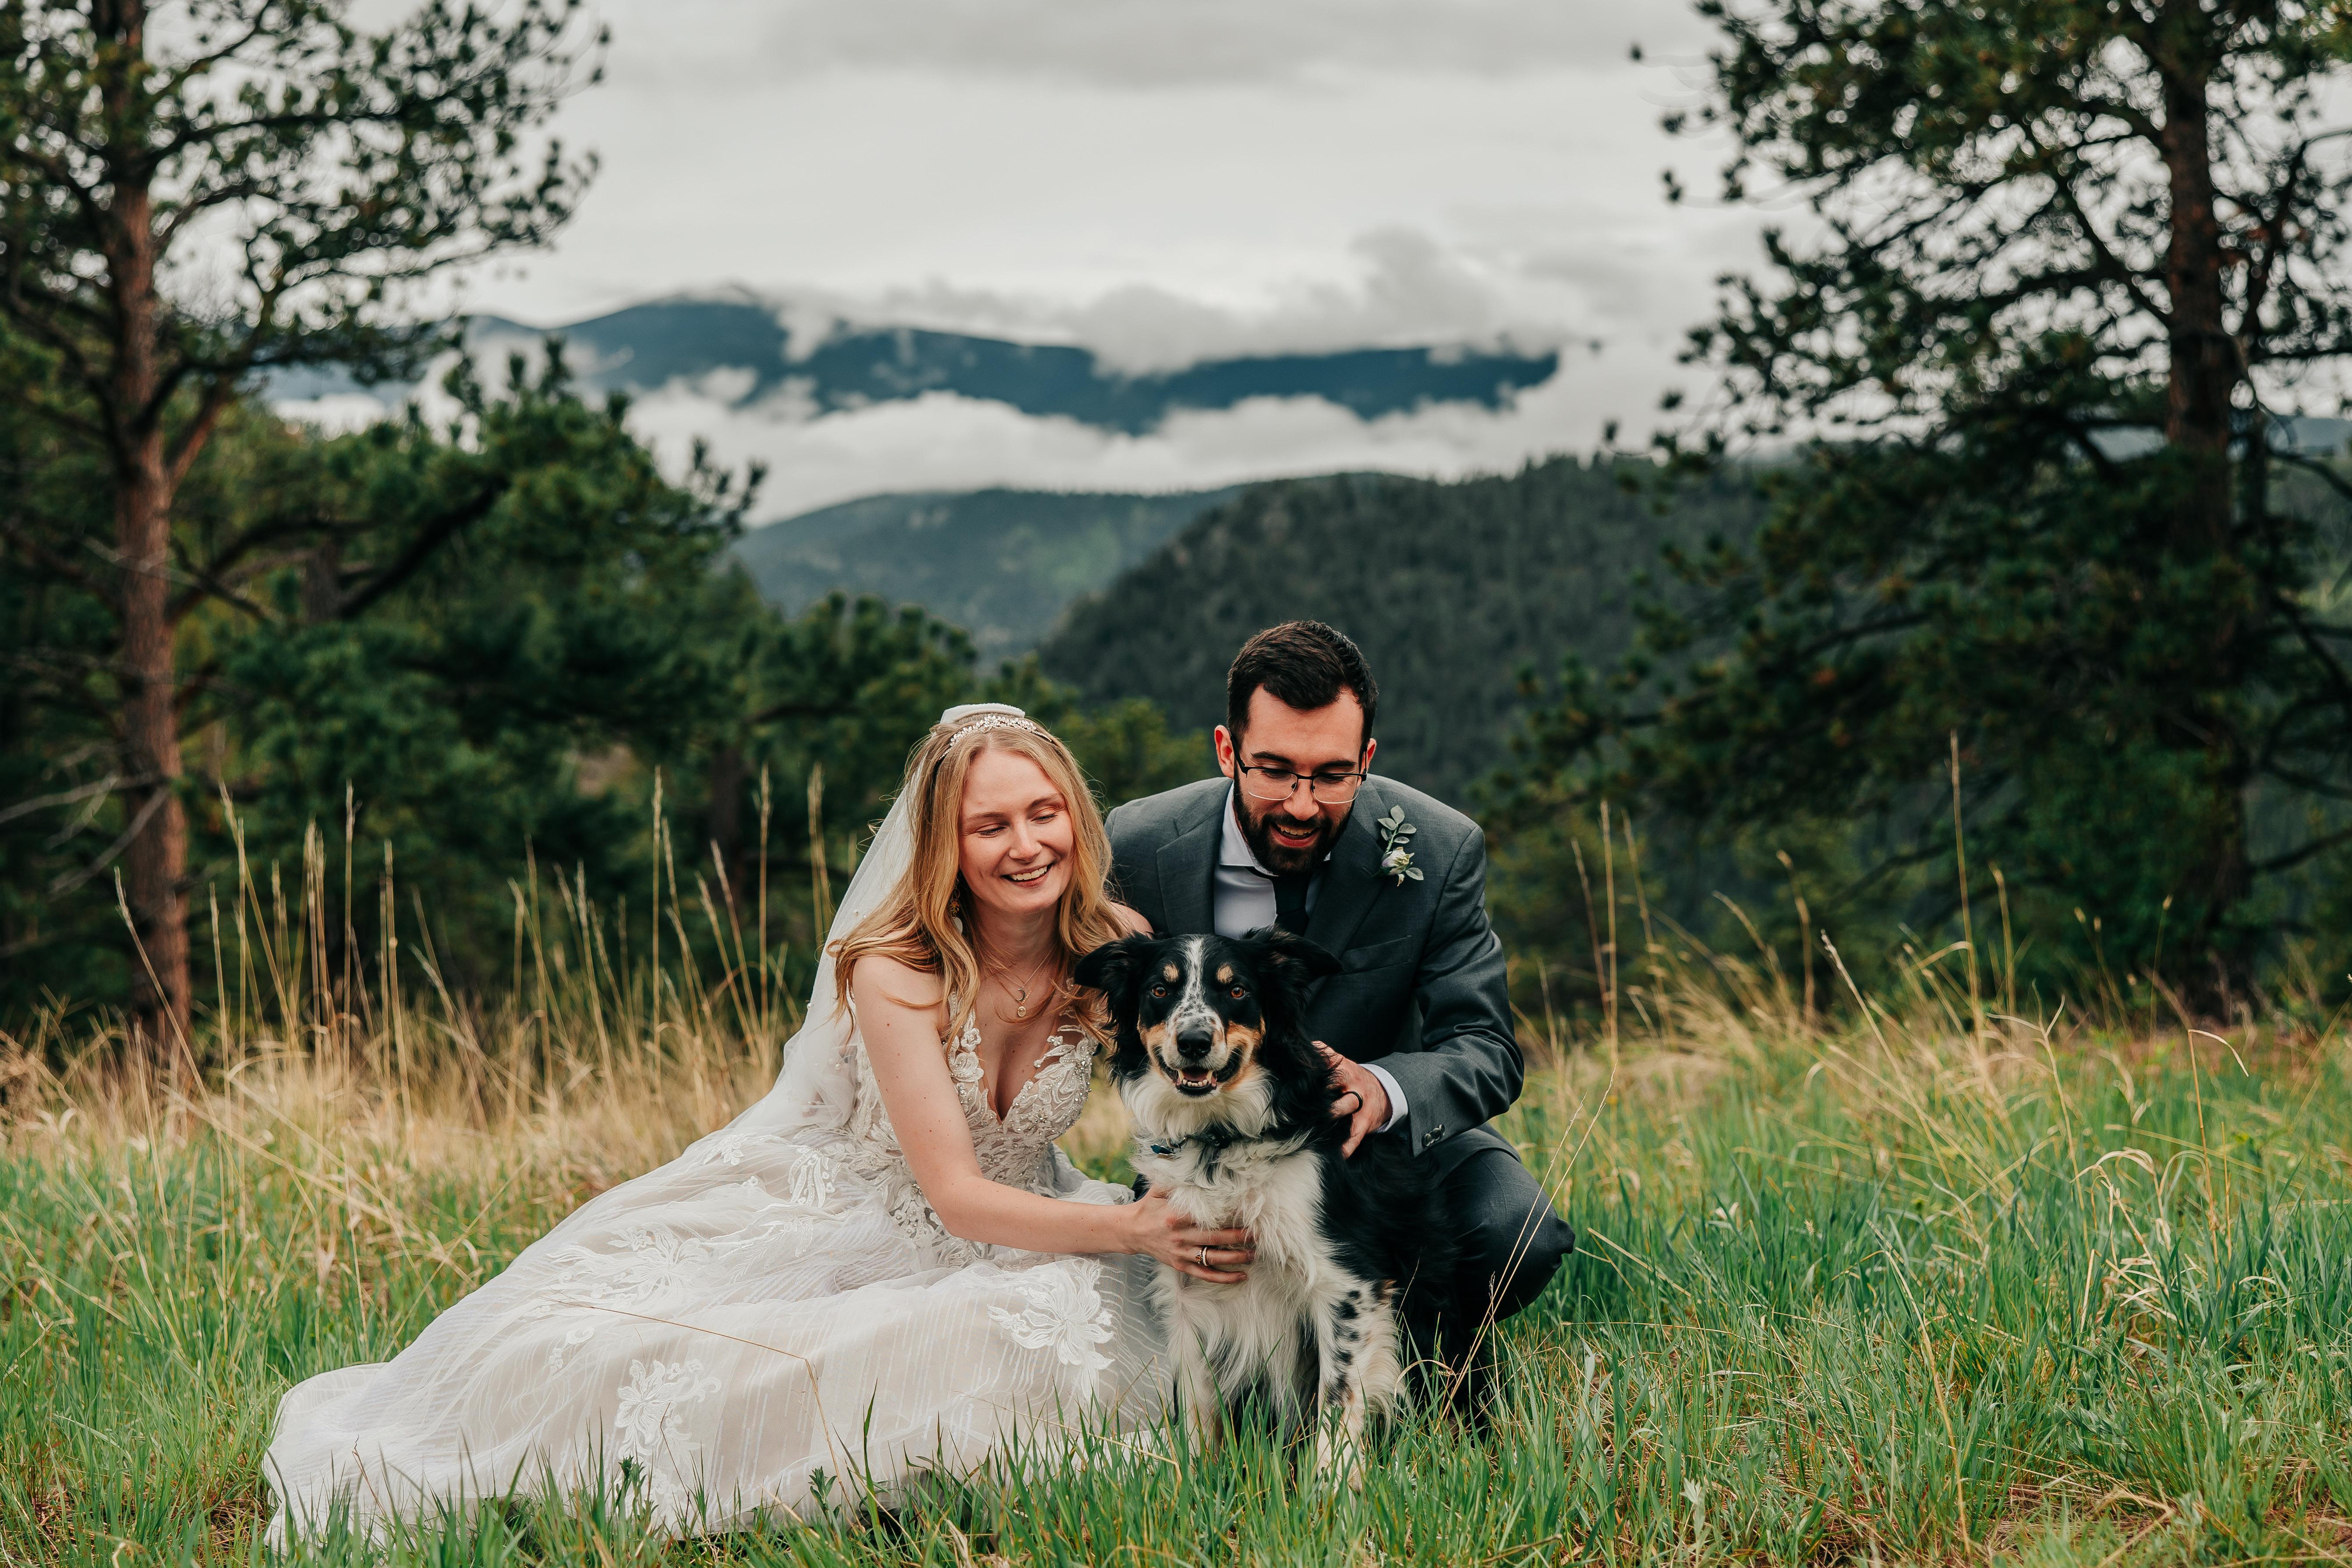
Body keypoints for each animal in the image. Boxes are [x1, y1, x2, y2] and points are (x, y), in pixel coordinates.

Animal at [1073, 927, 1451, 1477]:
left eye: (1236, 991)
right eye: (1159, 990)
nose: (1193, 1042)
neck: (1219, 1139)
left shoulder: (1347, 1286)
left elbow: (1337, 1402)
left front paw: (1331, 1486)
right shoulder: (1185, 1288)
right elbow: (1197, 1409)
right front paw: (1198, 1481)